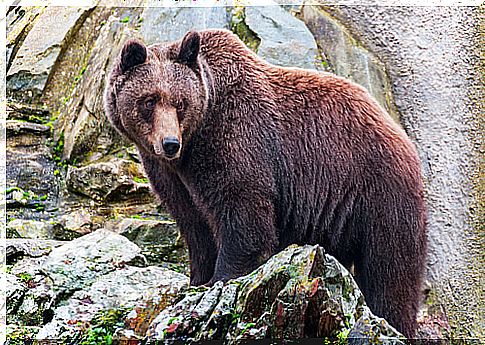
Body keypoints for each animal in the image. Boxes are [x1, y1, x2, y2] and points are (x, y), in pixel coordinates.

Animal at [104, 28, 426, 336]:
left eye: (180, 103)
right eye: (149, 100)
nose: (170, 142)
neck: (193, 144)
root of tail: (402, 137)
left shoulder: (238, 141)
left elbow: (243, 215)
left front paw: (221, 279)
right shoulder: (170, 175)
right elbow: (195, 226)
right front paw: (196, 281)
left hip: (377, 192)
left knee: (389, 271)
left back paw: (392, 320)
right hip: (339, 218)